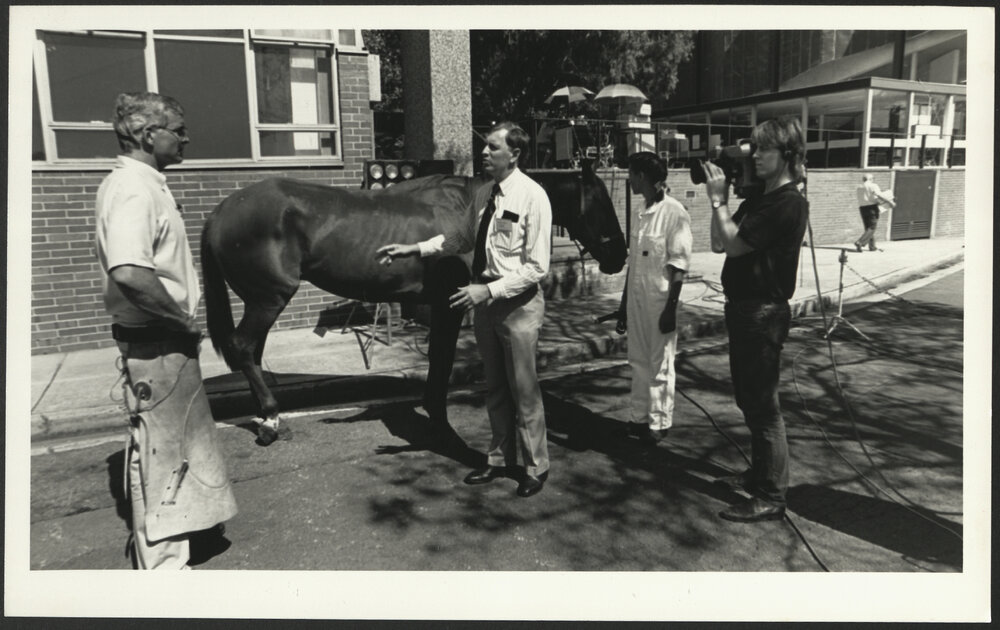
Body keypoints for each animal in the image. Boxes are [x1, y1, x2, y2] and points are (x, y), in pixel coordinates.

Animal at [200, 160, 626, 445]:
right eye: (602, 204)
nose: (619, 257)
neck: (471, 214)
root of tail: (221, 211)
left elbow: (438, 357)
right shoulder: (450, 305)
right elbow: (441, 359)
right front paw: (439, 420)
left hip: (262, 301)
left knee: (252, 353)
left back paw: (266, 416)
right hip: (267, 298)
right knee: (243, 347)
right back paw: (271, 419)